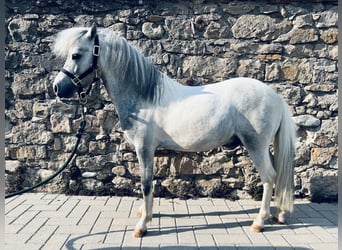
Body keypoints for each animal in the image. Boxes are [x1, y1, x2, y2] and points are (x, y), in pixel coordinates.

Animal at [52, 24, 296, 237]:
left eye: (76, 55)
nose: (57, 87)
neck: (144, 96)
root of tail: (275, 96)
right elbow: (148, 183)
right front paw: (145, 213)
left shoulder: (144, 148)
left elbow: (146, 184)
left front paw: (142, 226)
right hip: (265, 147)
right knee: (277, 175)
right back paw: (279, 214)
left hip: (256, 145)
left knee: (269, 177)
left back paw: (259, 222)